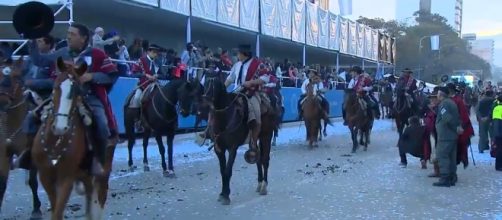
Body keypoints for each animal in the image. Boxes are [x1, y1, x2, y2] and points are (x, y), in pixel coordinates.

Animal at [0, 57, 42, 219]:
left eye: (16, 77)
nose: (2, 102)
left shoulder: (32, 153)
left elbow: (32, 181)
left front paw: (36, 210)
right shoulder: (5, 153)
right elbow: (2, 183)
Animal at [31, 58, 116, 220]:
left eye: (78, 91)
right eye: (56, 86)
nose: (60, 127)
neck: (56, 142)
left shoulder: (67, 178)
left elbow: (58, 211)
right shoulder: (45, 177)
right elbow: (55, 209)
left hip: (102, 173)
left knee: (99, 199)